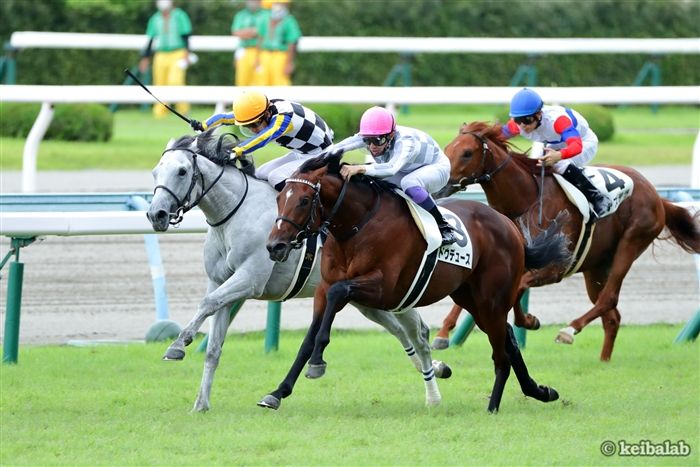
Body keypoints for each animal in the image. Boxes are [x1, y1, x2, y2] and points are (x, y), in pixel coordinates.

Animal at [146, 129, 452, 412]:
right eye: (155, 172)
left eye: (182, 171)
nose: (155, 214)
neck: (235, 213)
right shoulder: (219, 280)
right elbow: (213, 345)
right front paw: (201, 403)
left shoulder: (250, 280)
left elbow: (207, 303)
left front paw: (177, 345)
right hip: (370, 301)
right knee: (406, 332)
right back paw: (437, 370)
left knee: (417, 332)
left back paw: (434, 386)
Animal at [263, 151, 571, 413]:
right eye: (279, 199)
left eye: (304, 200)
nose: (275, 246)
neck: (357, 226)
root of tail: (510, 226)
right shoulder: (324, 289)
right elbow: (309, 336)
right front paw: (278, 392)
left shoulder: (383, 288)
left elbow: (339, 295)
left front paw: (317, 362)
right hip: (472, 298)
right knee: (507, 337)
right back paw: (539, 391)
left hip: (492, 299)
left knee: (501, 353)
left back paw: (493, 406)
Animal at [435, 121, 700, 361]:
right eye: (447, 148)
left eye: (467, 153)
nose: (441, 185)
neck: (526, 201)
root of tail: (656, 194)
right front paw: (443, 333)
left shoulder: (554, 269)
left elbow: (518, 288)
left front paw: (528, 321)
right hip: (597, 267)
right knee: (611, 316)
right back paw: (603, 361)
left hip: (632, 242)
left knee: (609, 298)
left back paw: (569, 329)